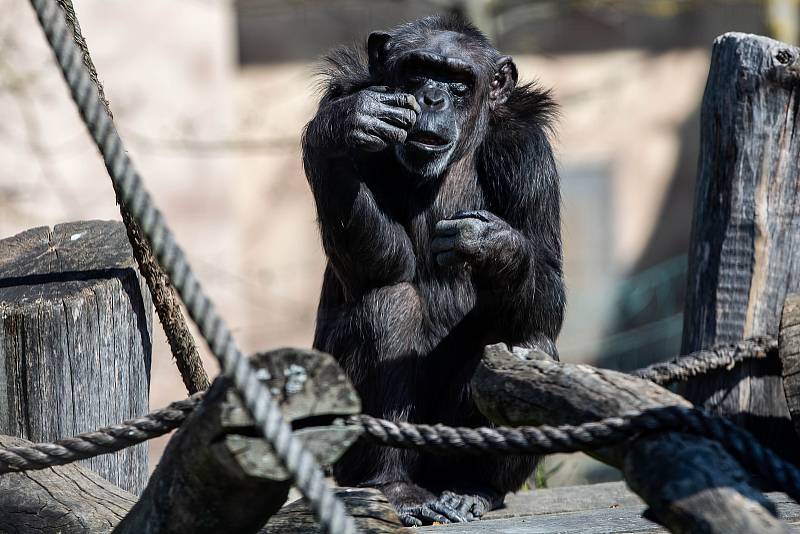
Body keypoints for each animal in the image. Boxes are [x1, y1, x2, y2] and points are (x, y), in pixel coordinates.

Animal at [304, 14, 564, 528]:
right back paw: (393, 487)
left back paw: (472, 488)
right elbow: (382, 268)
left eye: (457, 80)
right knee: (390, 304)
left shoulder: (530, 154)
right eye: (418, 71)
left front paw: (492, 244)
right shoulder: (343, 96)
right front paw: (342, 128)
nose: (432, 98)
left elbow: (550, 283)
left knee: (530, 340)